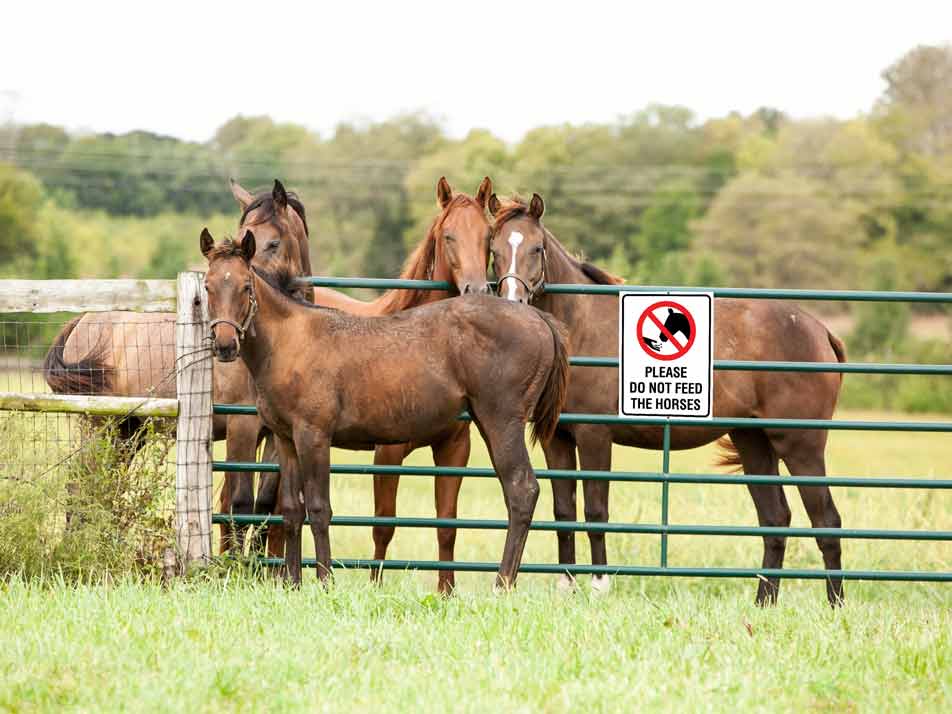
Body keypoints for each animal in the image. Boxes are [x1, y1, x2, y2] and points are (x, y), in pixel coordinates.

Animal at [43, 180, 310, 553]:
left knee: (106, 485)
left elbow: (266, 502)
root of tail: (84, 320)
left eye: (273, 242)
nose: (225, 342)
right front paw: (235, 562)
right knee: (82, 484)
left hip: (128, 431)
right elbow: (239, 502)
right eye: (245, 234)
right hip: (97, 427)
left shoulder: (274, 433)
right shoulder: (242, 428)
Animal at [200, 229, 570, 589]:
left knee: (522, 490)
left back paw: (502, 583)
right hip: (487, 422)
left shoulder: (314, 436)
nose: (225, 345)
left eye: (246, 287)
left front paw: (325, 581)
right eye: (207, 287)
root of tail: (538, 317)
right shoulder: (285, 439)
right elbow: (291, 510)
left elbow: (319, 509)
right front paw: (292, 583)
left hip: (502, 421)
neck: (290, 340)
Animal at [233, 176, 496, 593]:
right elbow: (383, 524)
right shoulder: (387, 452)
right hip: (248, 430)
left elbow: (447, 524)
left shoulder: (455, 448)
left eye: (488, 235)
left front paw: (446, 591)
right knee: (240, 498)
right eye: (448, 235)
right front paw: (374, 586)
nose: (477, 291)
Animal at [487, 192, 847, 606]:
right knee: (776, 519)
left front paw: (599, 585)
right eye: (494, 249)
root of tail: (819, 331)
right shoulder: (557, 438)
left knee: (826, 520)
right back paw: (763, 603)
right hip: (754, 442)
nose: (513, 302)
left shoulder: (594, 436)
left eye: (537, 247)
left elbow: (595, 510)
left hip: (802, 445)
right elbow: (564, 510)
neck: (581, 326)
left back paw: (835, 604)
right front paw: (567, 585)